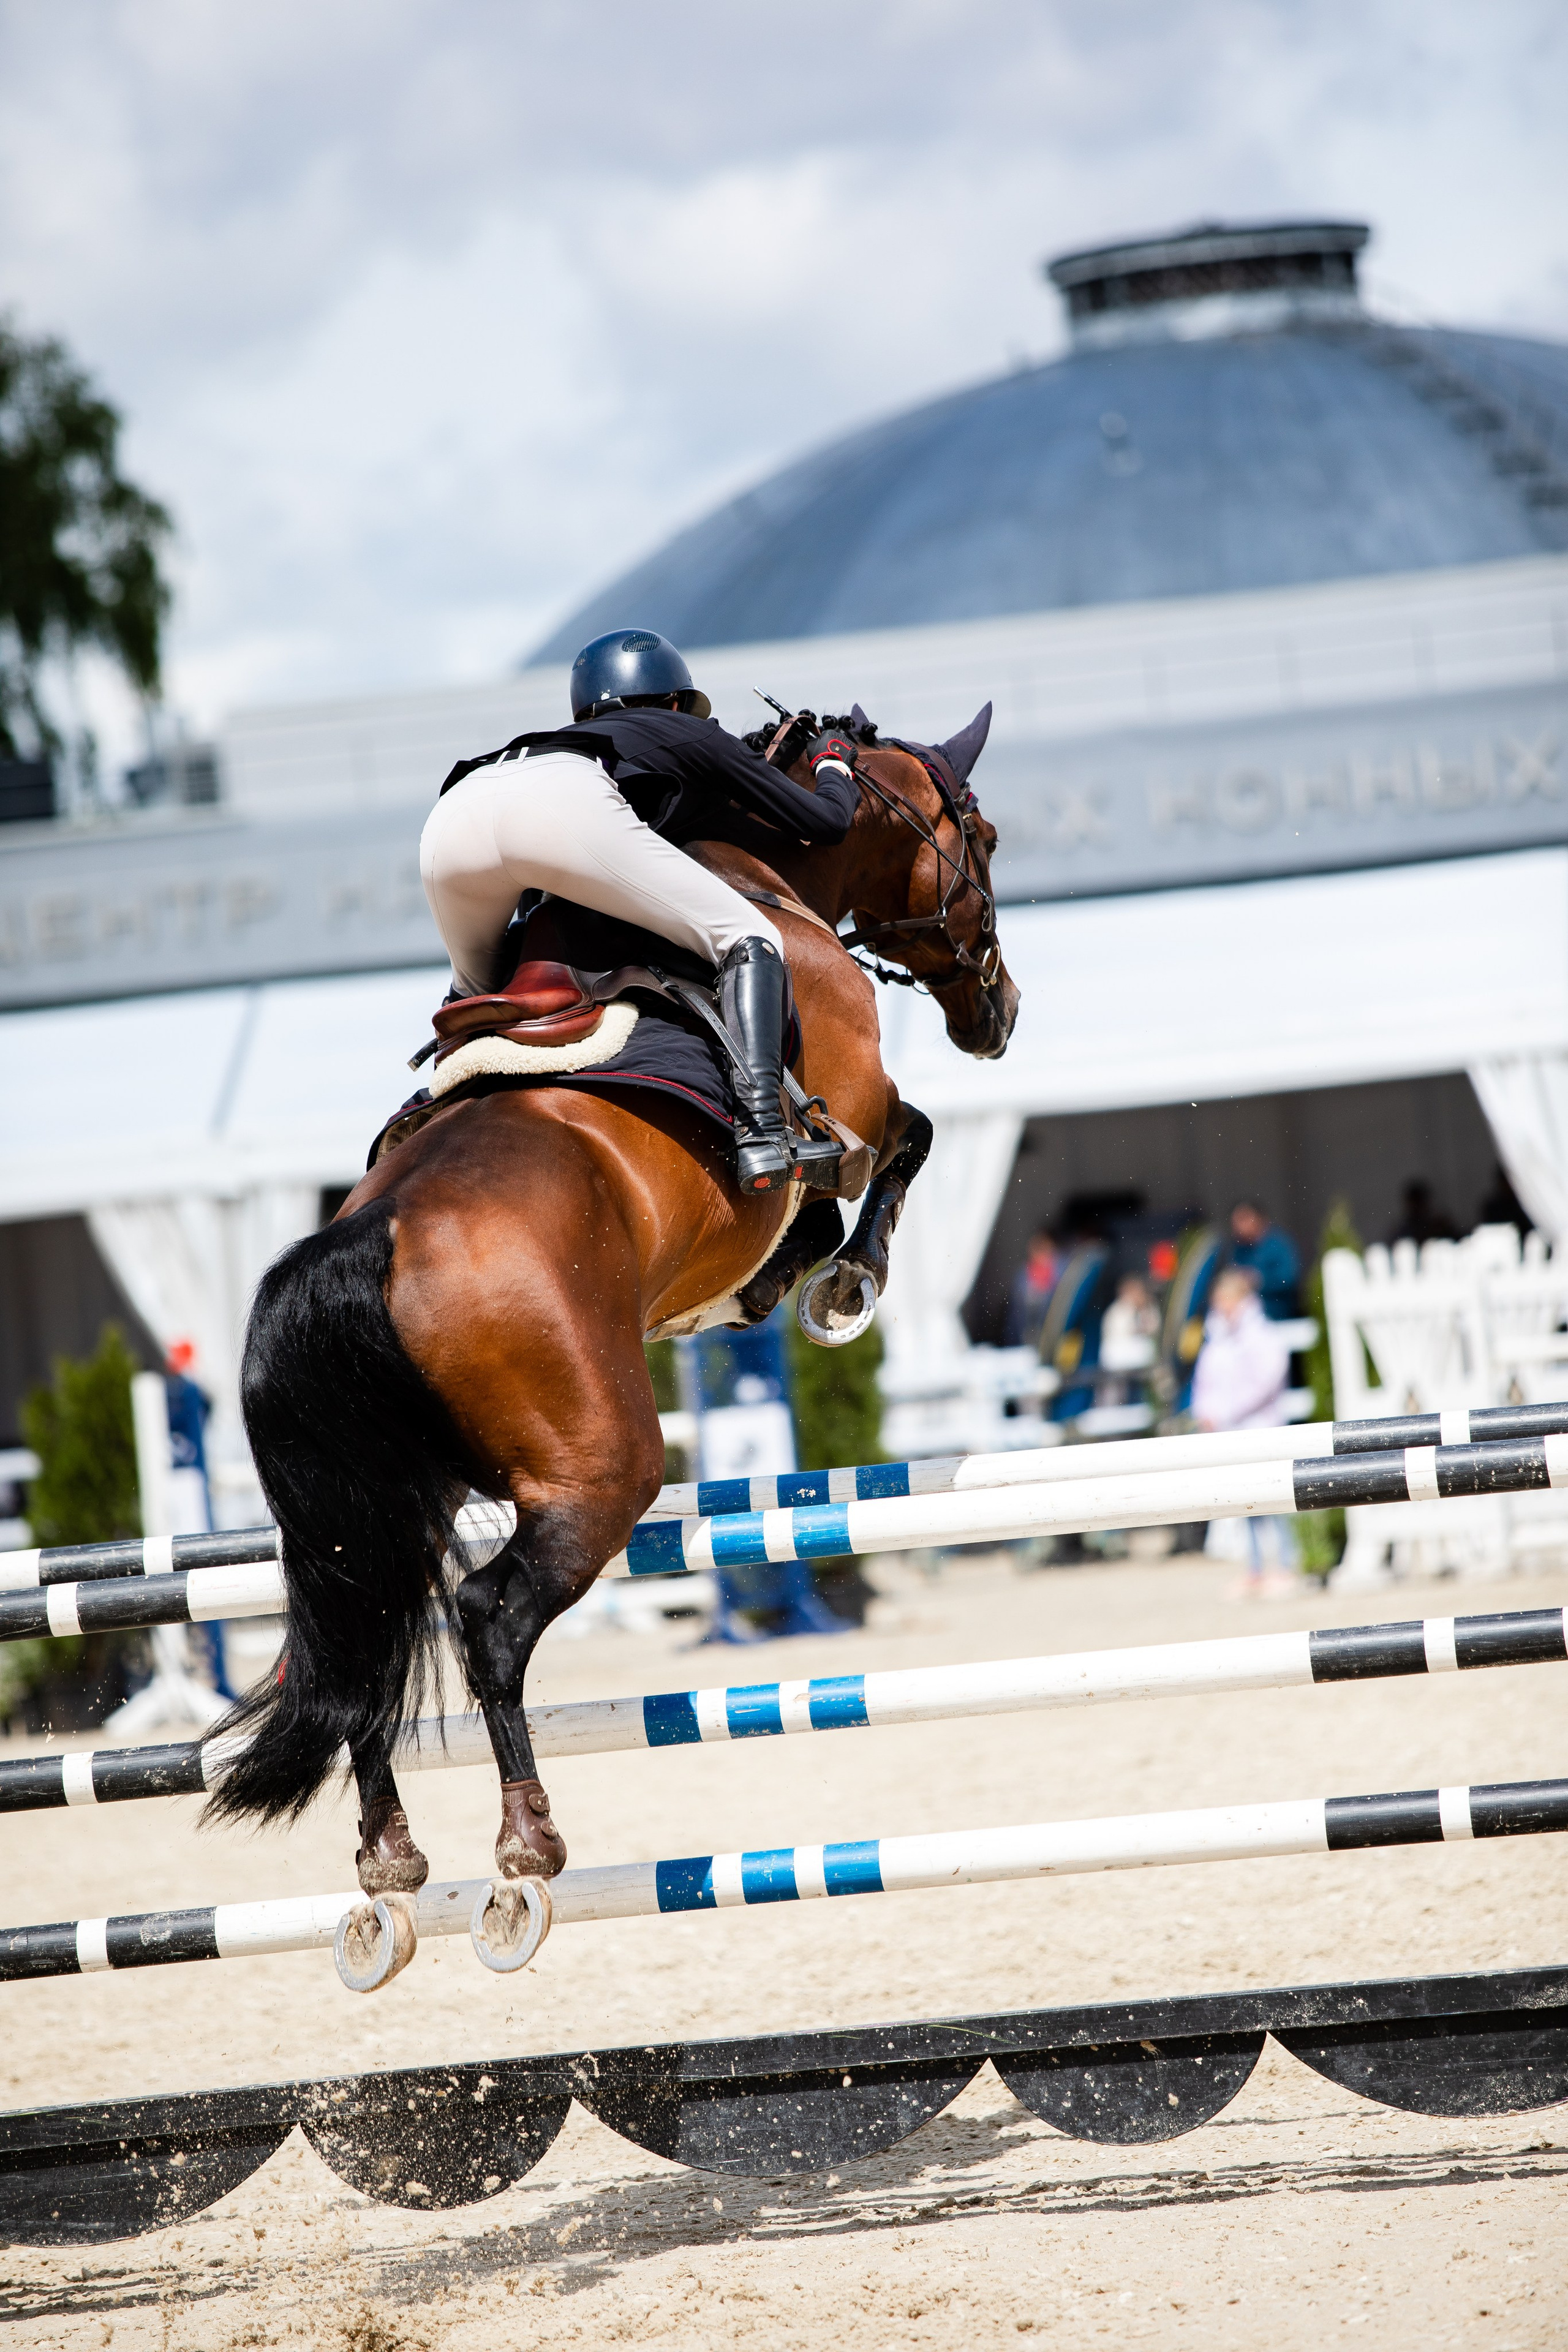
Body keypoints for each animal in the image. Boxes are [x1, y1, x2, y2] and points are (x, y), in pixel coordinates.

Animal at [208, 705, 1020, 1921]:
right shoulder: (858, 1111)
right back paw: (526, 1842)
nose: (998, 1013)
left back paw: (390, 1857)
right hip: (600, 1471)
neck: (766, 874)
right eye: (984, 838)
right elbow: (904, 1143)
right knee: (489, 1618)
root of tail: (372, 1231)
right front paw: (842, 1285)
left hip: (385, 1499)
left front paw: (776, 1284)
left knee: (366, 1636)